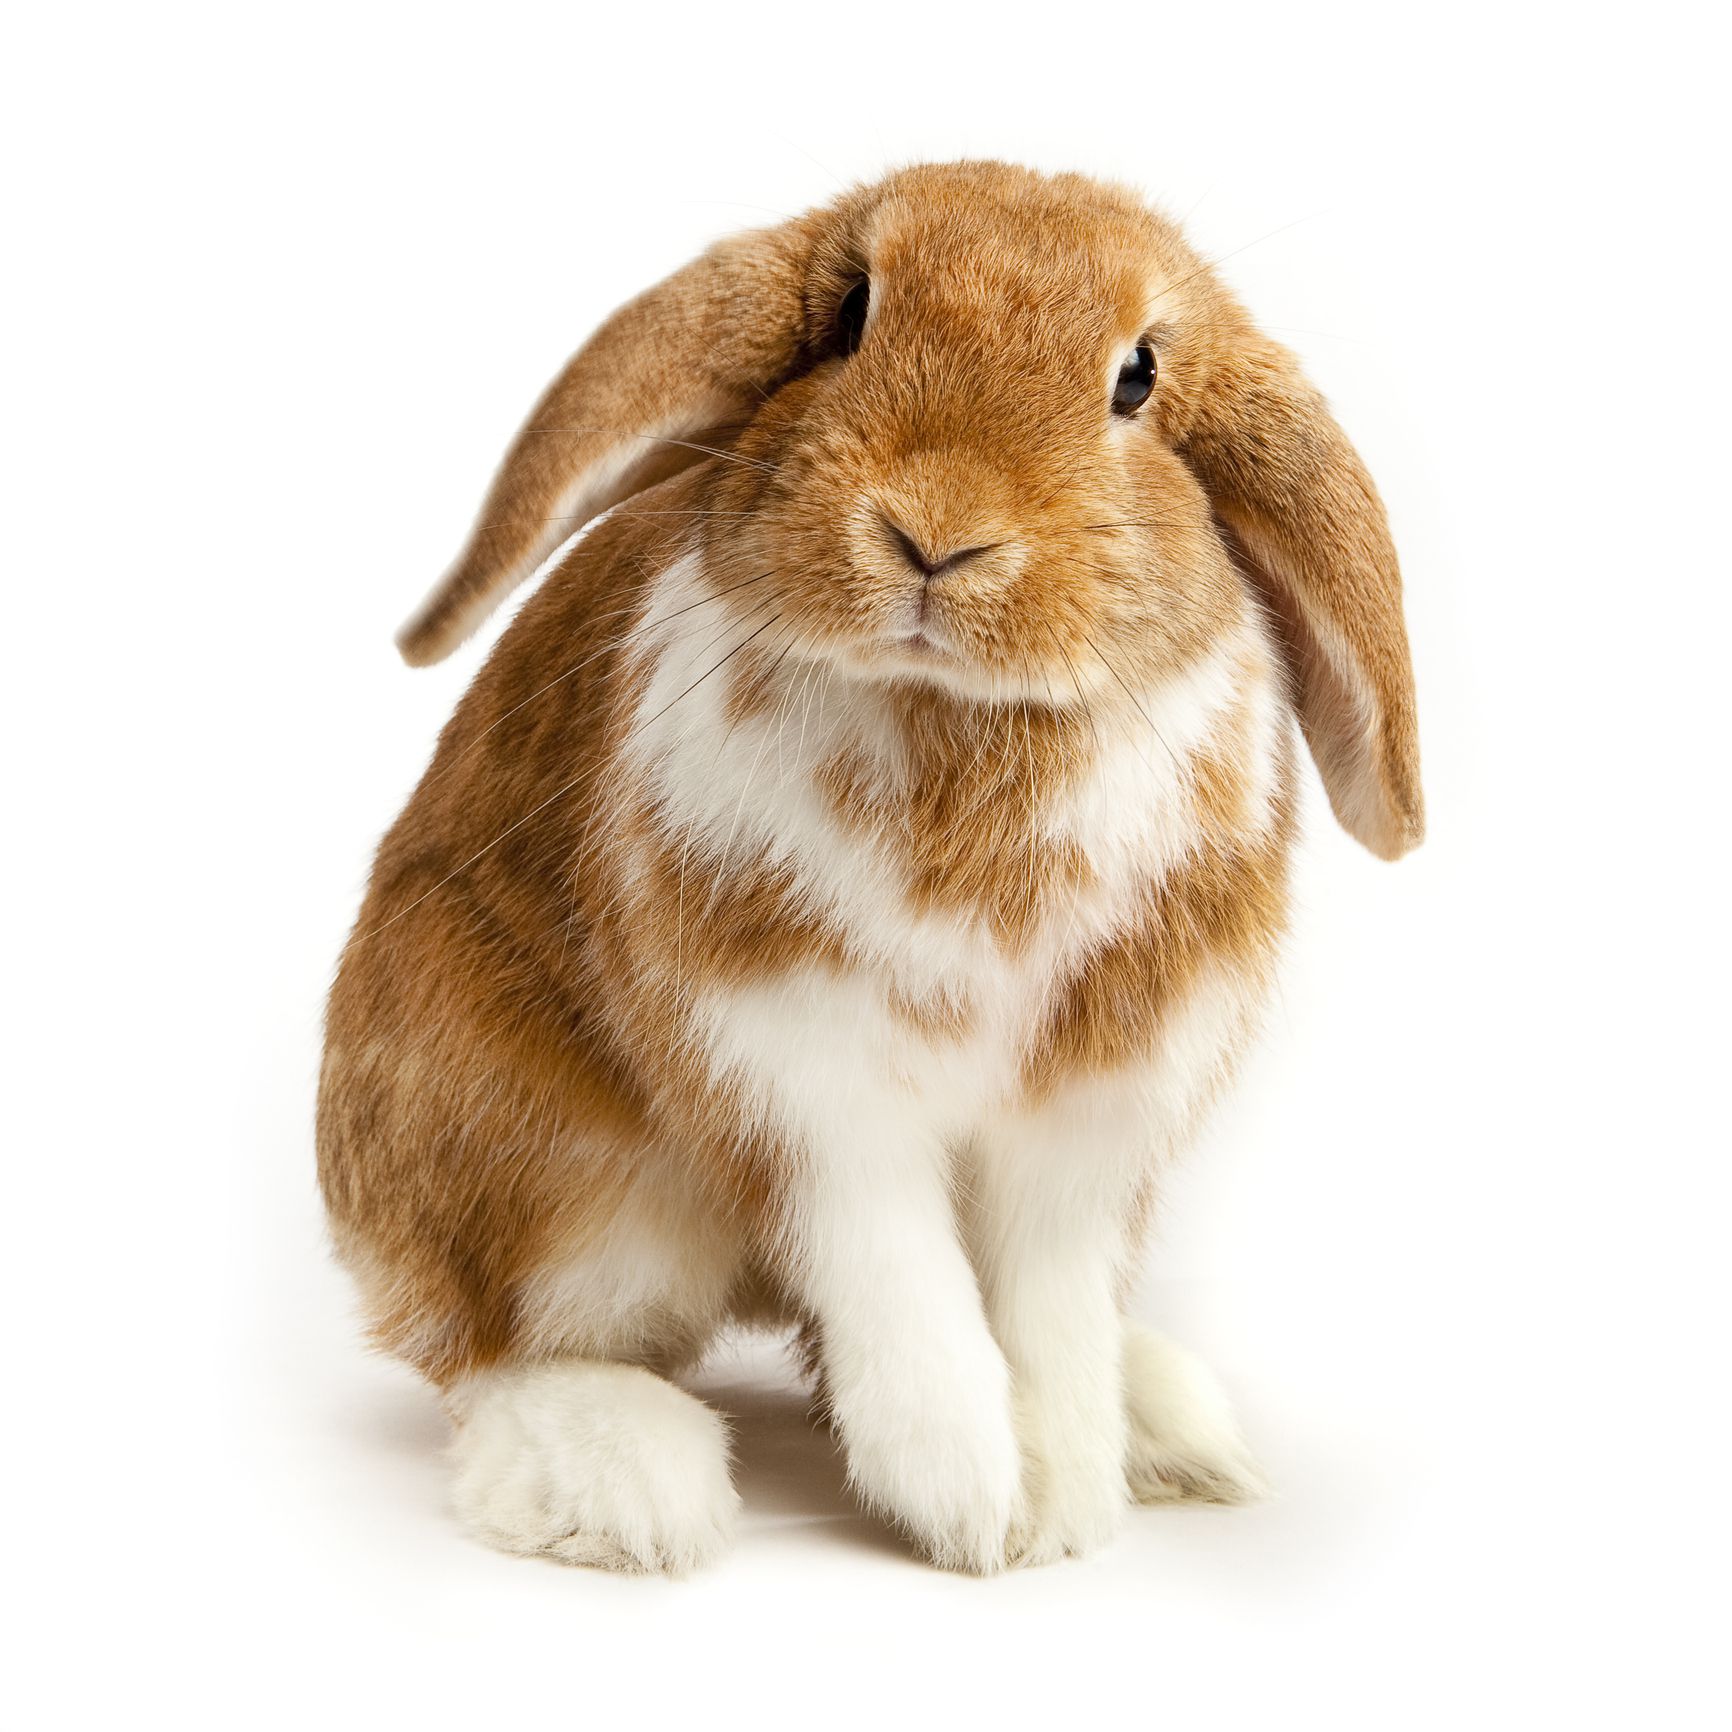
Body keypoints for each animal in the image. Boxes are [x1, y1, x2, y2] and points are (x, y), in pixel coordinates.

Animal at [322, 159, 1420, 1572]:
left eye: (1137, 378)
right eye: (849, 314)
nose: (937, 534)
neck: (953, 712)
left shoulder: (1094, 1113)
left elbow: (1048, 1311)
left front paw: (1060, 1497)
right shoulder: (805, 1080)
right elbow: (900, 1281)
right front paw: (970, 1495)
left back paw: (1165, 1425)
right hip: (544, 1158)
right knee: (496, 1347)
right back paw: (621, 1479)